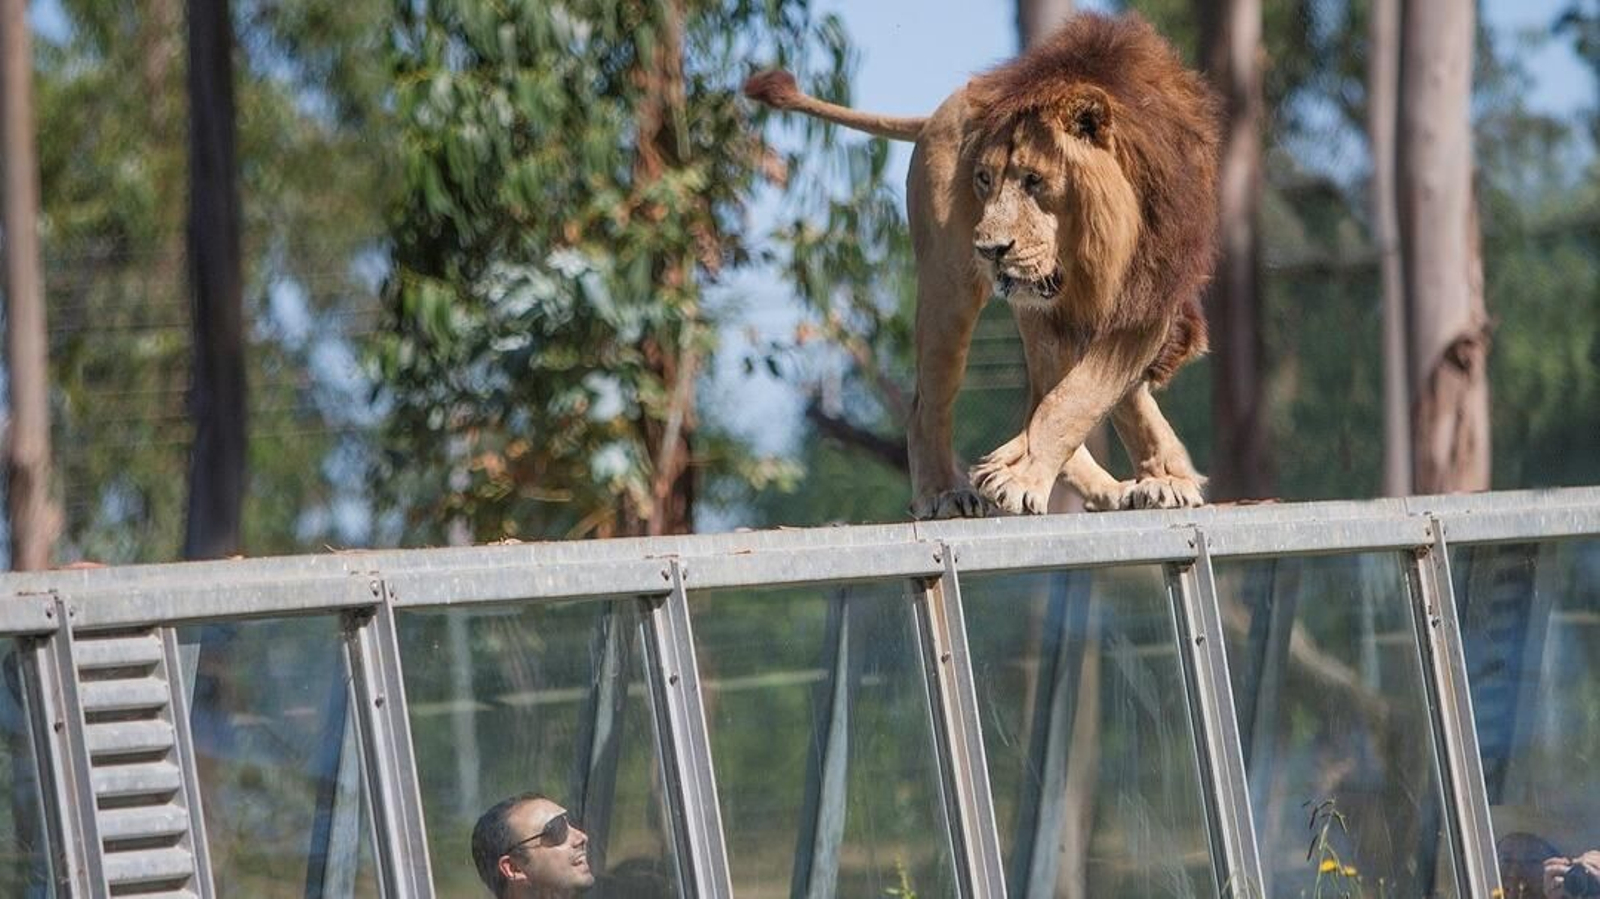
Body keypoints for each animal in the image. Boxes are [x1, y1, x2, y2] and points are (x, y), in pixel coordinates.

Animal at [746, 12, 1220, 518]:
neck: (1100, 245)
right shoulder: (1051, 311)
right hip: (949, 288)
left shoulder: (1148, 296)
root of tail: (943, 107)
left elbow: (1087, 394)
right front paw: (1016, 477)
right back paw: (945, 493)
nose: (990, 249)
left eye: (1034, 180)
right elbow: (1069, 399)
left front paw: (1164, 478)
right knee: (930, 405)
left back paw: (1111, 486)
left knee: (1053, 394)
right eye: (984, 179)